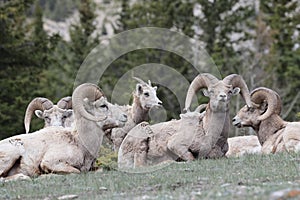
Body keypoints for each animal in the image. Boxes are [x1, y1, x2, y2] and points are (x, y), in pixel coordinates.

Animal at [118, 73, 252, 169]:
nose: (222, 97)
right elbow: (192, 158)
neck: (209, 134)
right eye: (211, 91)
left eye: (229, 91)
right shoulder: (175, 145)